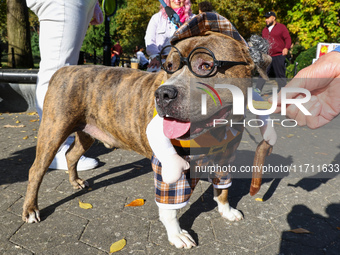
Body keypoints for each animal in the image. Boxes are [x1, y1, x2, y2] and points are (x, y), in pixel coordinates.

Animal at [22, 14, 272, 249]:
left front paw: (226, 210)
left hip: (87, 132)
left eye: (206, 66)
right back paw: (31, 209)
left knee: (71, 154)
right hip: (54, 129)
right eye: (169, 67)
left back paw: (76, 182)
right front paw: (176, 234)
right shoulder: (169, 165)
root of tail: (65, 70)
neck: (218, 131)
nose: (163, 94)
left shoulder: (226, 157)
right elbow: (170, 207)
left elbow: (223, 188)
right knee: (36, 169)